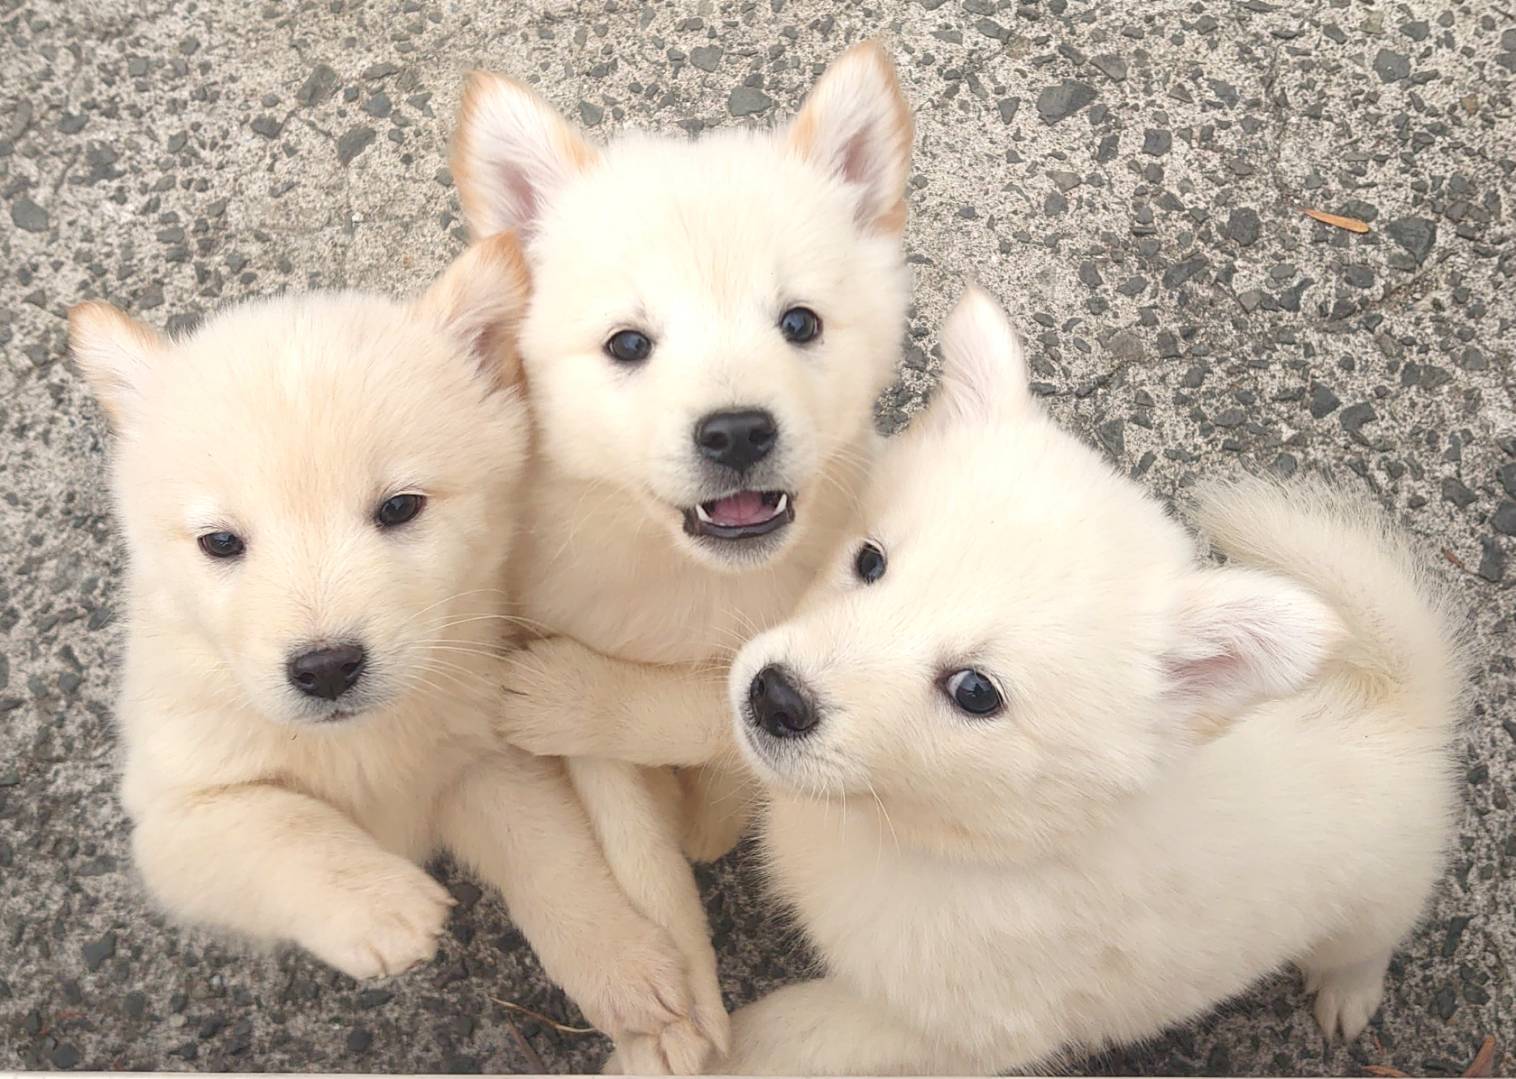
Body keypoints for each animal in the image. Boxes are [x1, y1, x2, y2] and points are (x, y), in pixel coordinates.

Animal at [68, 234, 719, 1069]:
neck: (364, 742)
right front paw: (382, 906)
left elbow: (556, 861)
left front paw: (630, 973)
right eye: (220, 542)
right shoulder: (176, 815)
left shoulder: (486, 759)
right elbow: (284, 824)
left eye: (400, 507)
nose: (325, 668)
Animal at [450, 41, 915, 1069]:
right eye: (628, 343)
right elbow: (638, 855)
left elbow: (703, 716)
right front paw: (672, 1015)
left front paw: (696, 800)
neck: (693, 584)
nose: (737, 431)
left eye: (799, 323)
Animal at [709, 287, 1464, 1074]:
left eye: (976, 691)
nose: (776, 696)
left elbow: (792, 1030)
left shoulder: (946, 1029)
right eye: (869, 561)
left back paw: (1347, 993)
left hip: (1378, 896)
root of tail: (1394, 706)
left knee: (1366, 944)